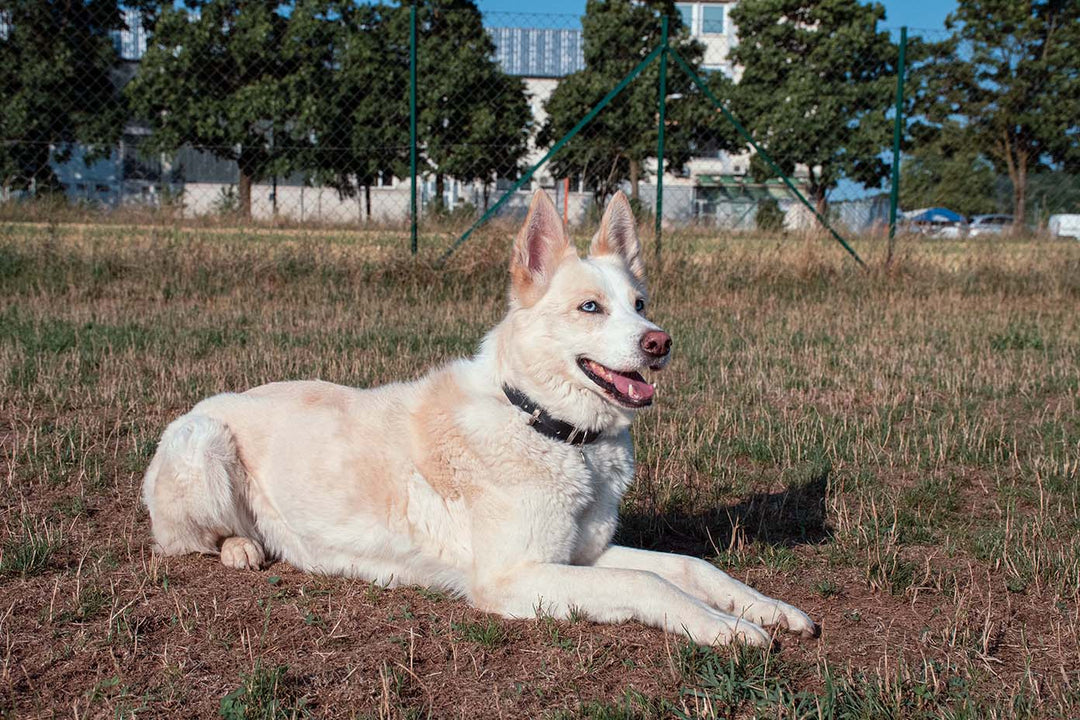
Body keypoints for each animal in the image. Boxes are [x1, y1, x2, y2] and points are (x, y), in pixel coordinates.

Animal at [145, 189, 816, 647]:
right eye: (590, 308)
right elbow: (647, 584)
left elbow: (687, 565)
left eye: (640, 303)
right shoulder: (513, 576)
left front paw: (767, 609)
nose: (660, 342)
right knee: (183, 540)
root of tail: (202, 404)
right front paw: (727, 629)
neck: (549, 427)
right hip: (205, 448)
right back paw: (241, 548)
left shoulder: (580, 555)